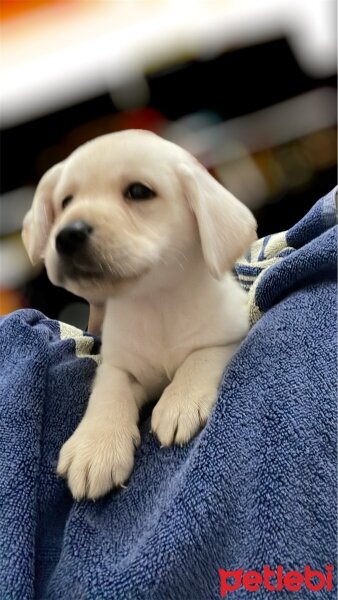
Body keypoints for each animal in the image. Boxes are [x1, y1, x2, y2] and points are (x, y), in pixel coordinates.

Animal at [21, 131, 256, 502]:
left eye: (139, 192)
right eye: (66, 202)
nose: (67, 234)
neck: (153, 301)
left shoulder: (230, 334)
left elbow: (200, 358)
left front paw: (181, 400)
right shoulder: (117, 365)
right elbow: (108, 392)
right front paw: (96, 446)